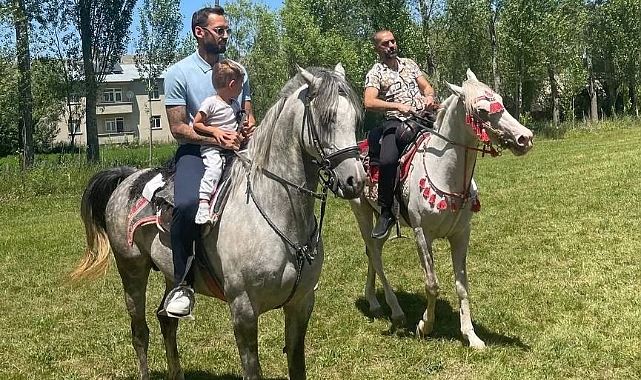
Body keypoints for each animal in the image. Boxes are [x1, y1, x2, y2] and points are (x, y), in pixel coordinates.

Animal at [70, 63, 364, 378]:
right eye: (327, 118)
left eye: (355, 119)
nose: (355, 181)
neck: (280, 216)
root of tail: (128, 178)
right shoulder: (244, 310)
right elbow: (252, 369)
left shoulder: (302, 304)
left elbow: (298, 366)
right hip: (131, 270)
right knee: (140, 333)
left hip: (172, 274)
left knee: (166, 320)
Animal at [348, 69, 532, 350]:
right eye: (481, 110)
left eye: (500, 100)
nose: (525, 137)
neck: (444, 172)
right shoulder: (422, 235)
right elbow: (432, 284)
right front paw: (425, 326)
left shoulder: (461, 235)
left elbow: (462, 285)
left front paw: (471, 336)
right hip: (362, 212)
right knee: (375, 255)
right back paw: (395, 310)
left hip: (382, 217)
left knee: (373, 251)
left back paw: (374, 302)